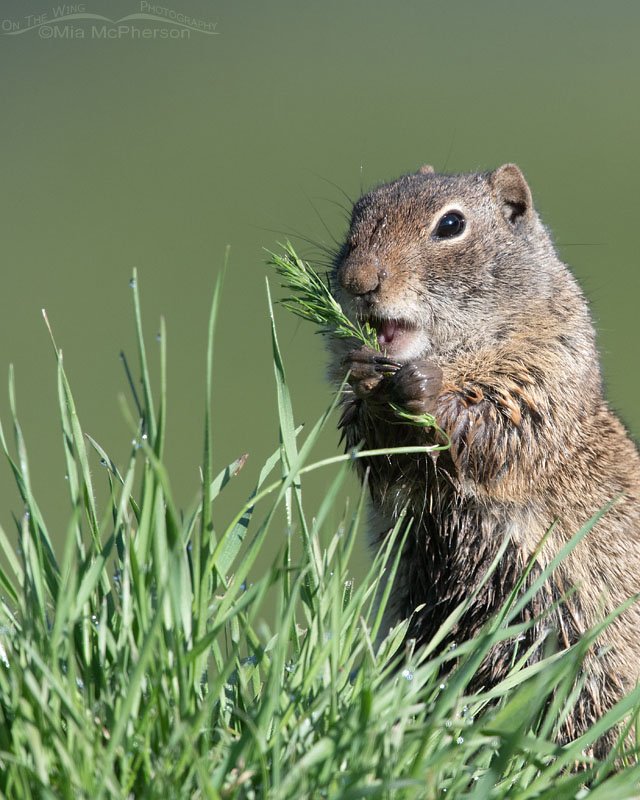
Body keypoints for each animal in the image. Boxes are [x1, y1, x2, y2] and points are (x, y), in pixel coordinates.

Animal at [328, 163, 640, 755]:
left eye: (451, 225)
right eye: (356, 214)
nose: (357, 280)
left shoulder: (544, 371)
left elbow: (498, 432)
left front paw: (427, 392)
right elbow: (377, 452)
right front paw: (366, 373)